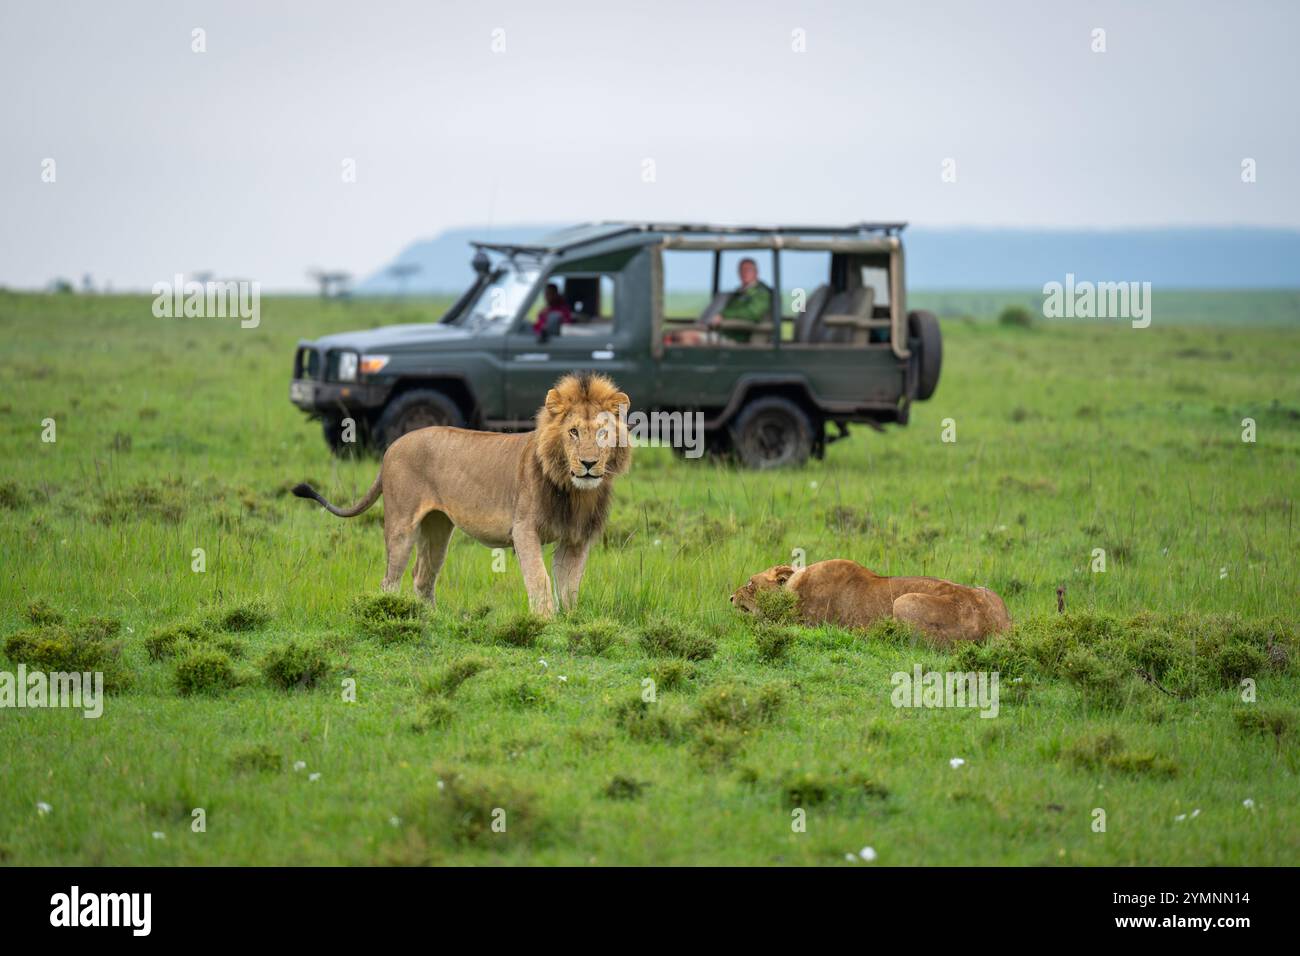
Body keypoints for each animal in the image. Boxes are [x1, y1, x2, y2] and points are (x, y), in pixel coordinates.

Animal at [299, 369, 634, 616]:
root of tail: (391, 448)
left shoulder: (576, 538)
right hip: (401, 526)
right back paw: (394, 616)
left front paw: (569, 621)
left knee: (422, 577)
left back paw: (430, 620)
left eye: (603, 433)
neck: (574, 491)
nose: (589, 464)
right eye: (573, 432)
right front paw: (545, 623)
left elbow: (570, 586)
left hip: (437, 528)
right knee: (390, 580)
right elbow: (539, 577)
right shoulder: (524, 528)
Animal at [728, 556, 1008, 647]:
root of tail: (995, 626)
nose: (730, 597)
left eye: (750, 583)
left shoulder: (805, 624)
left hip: (904, 601)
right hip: (989, 592)